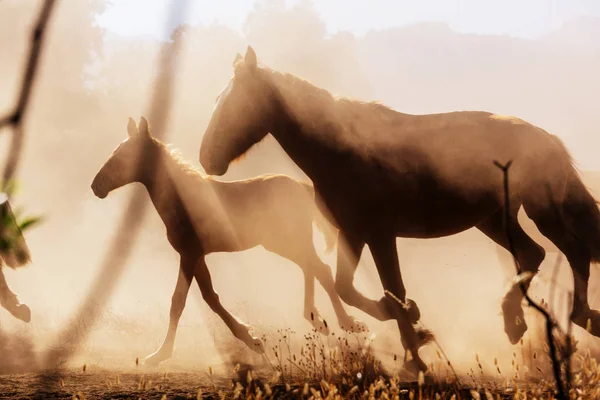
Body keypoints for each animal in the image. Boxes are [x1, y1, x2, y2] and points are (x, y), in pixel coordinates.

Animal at [199, 47, 600, 376]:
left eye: (235, 103)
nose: (206, 159)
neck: (338, 152)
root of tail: (546, 138)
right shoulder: (353, 233)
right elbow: (349, 288)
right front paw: (412, 326)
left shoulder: (380, 234)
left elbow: (392, 289)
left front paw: (415, 350)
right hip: (494, 220)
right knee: (535, 254)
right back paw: (517, 322)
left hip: (540, 211)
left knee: (572, 252)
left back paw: (574, 317)